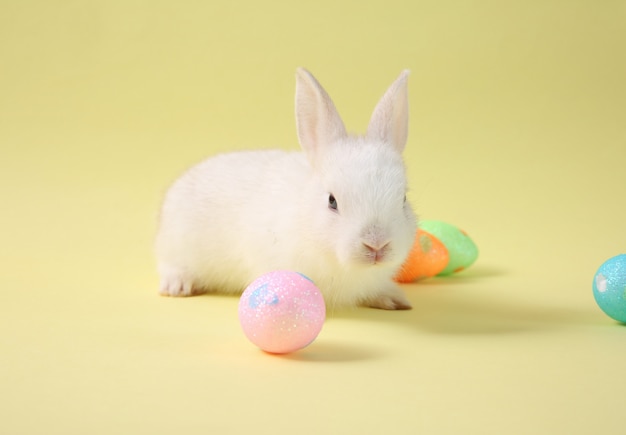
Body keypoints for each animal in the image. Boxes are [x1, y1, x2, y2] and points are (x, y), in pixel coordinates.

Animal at [154, 69, 416, 310]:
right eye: (332, 201)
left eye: (403, 198)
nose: (377, 245)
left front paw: (395, 300)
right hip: (176, 245)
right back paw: (178, 286)